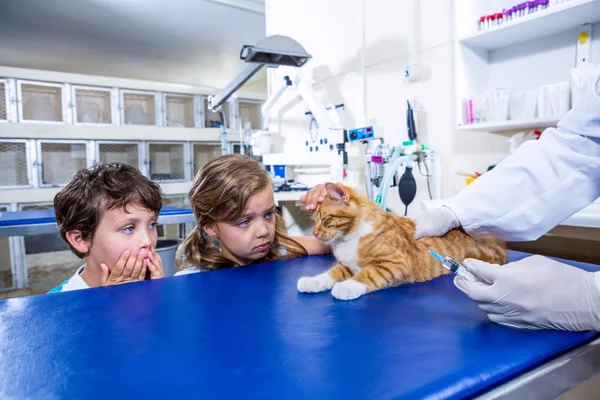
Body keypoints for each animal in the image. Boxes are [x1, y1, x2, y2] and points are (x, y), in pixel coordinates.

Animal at [296, 182, 506, 300]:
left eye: (325, 219)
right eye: (313, 221)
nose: (314, 233)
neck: (350, 238)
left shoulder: (395, 263)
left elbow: (369, 274)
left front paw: (348, 286)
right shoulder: (347, 266)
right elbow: (331, 273)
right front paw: (313, 282)